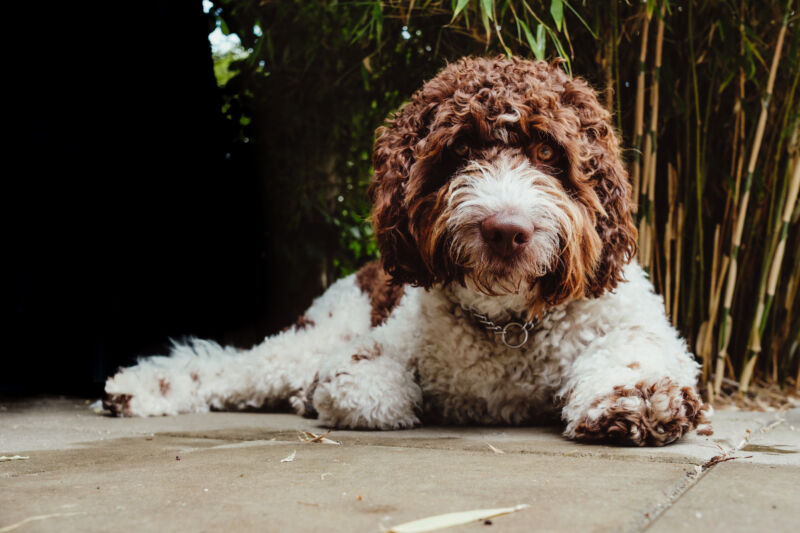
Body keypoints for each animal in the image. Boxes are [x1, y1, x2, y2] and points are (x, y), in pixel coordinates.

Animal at [104, 56, 712, 444]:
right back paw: (136, 390)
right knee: (229, 366)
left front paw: (635, 400)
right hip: (322, 330)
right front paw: (353, 397)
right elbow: (361, 385)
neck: (509, 326)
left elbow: (633, 353)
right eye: (461, 150)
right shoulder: (370, 350)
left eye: (547, 151)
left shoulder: (633, 323)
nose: (506, 230)